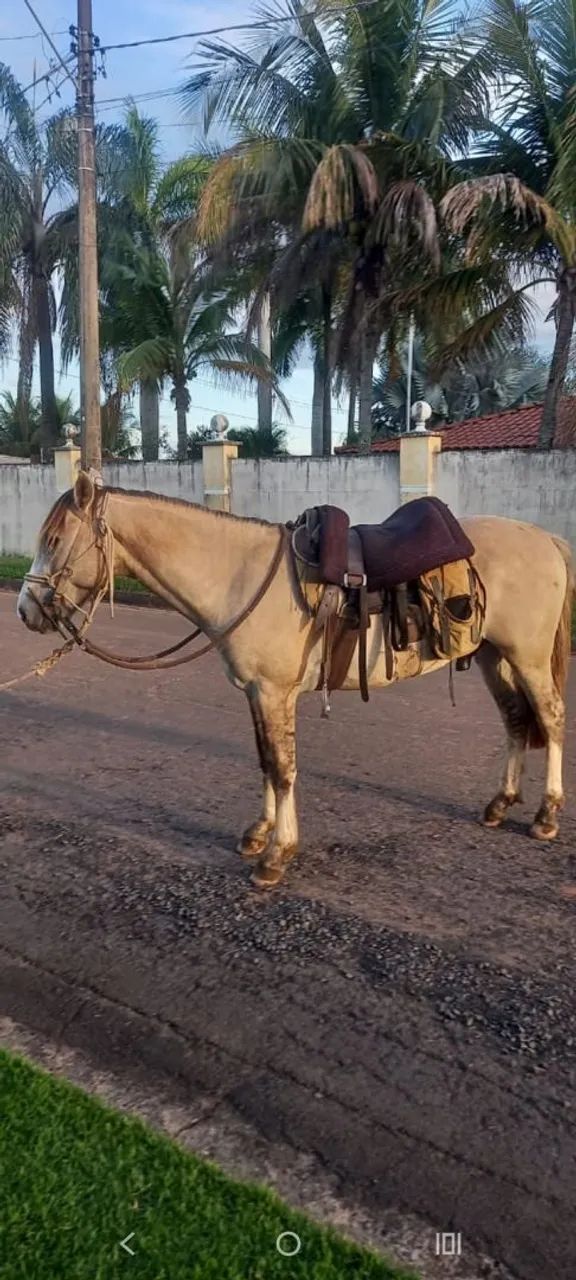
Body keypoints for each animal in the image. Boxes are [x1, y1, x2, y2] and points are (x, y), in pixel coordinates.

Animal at [17, 471, 573, 888]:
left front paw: (277, 855)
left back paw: (546, 815)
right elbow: (266, 760)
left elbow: (283, 768)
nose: (26, 609)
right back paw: (500, 804)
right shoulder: (256, 692)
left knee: (549, 718)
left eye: (54, 540)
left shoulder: (273, 691)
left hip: (526, 657)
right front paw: (259, 834)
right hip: (493, 656)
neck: (237, 575)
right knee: (516, 720)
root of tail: (545, 538)